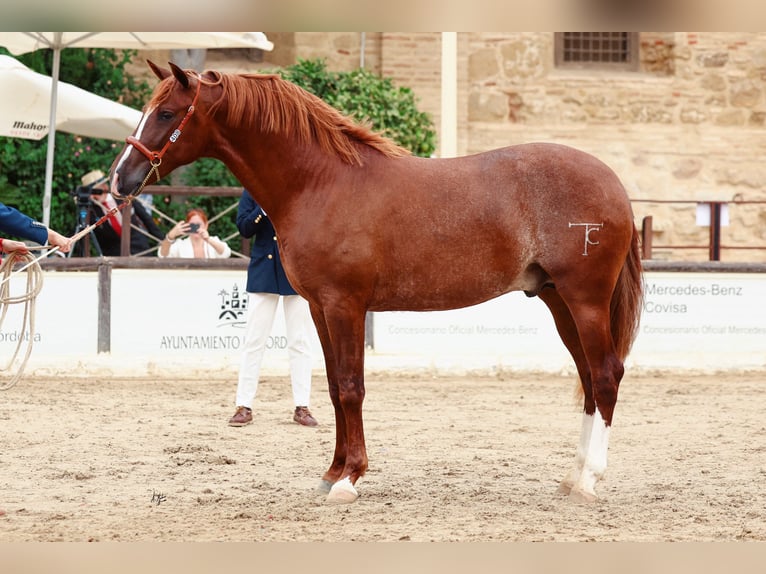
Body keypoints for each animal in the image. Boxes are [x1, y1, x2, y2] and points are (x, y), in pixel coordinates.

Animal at [111, 60, 644, 506]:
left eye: (166, 113)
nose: (119, 182)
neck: (320, 182)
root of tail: (614, 185)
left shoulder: (345, 305)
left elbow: (351, 387)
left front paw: (349, 479)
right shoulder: (320, 308)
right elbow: (331, 388)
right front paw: (331, 472)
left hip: (585, 300)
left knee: (605, 375)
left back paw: (590, 480)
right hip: (559, 302)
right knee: (588, 380)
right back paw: (572, 476)